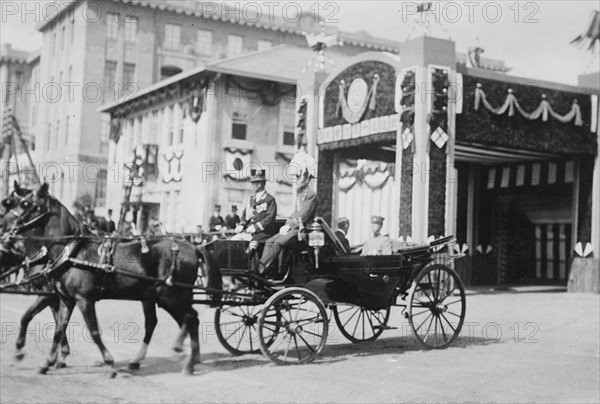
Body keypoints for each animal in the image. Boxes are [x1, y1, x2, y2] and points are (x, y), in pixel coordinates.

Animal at [1, 184, 221, 376]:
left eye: (25, 204)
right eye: (12, 202)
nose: (4, 226)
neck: (72, 251)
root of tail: (193, 246)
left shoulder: (82, 299)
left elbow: (93, 332)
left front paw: (109, 364)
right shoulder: (65, 299)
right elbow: (55, 329)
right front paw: (47, 361)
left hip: (171, 297)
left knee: (190, 318)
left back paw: (184, 355)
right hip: (159, 298)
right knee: (171, 321)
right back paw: (181, 359)